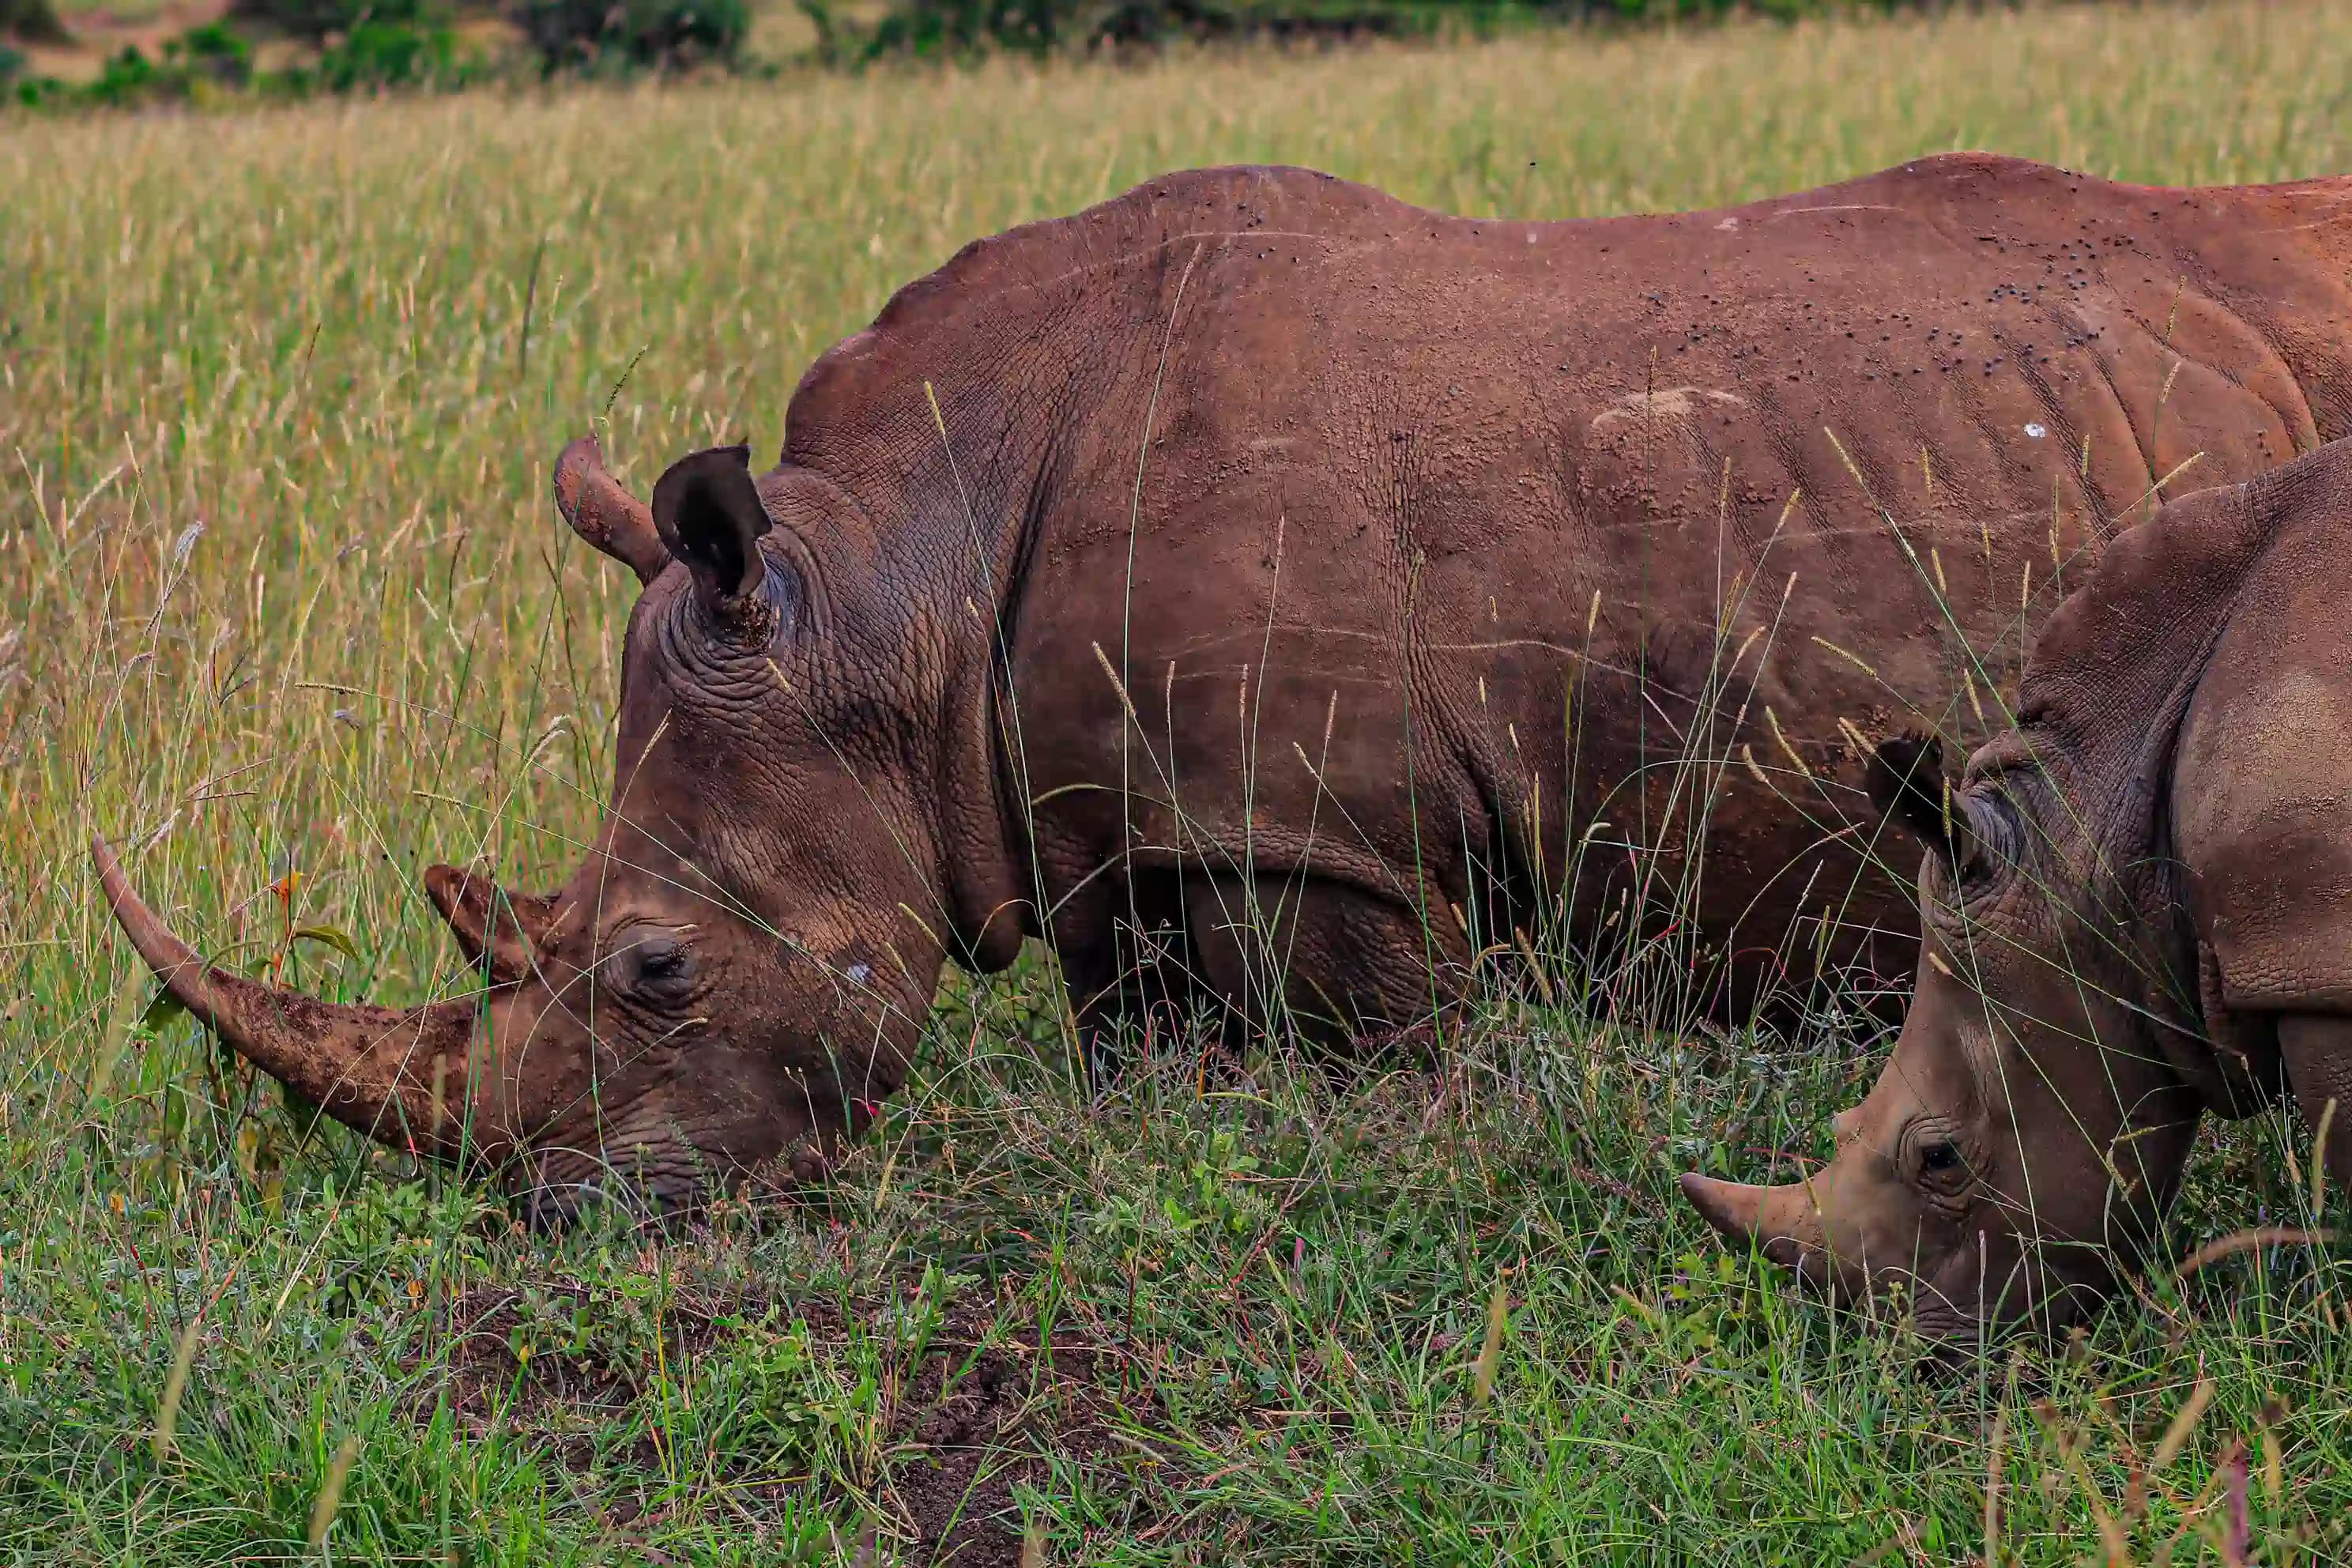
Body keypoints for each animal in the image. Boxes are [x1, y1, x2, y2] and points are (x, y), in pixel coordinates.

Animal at [105, 153, 2352, 1222]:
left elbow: (1361, 1038)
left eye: (657, 967)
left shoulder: (1318, 827)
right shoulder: (1105, 818)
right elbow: (1143, 1032)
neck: (890, 583)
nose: (567, 1209)